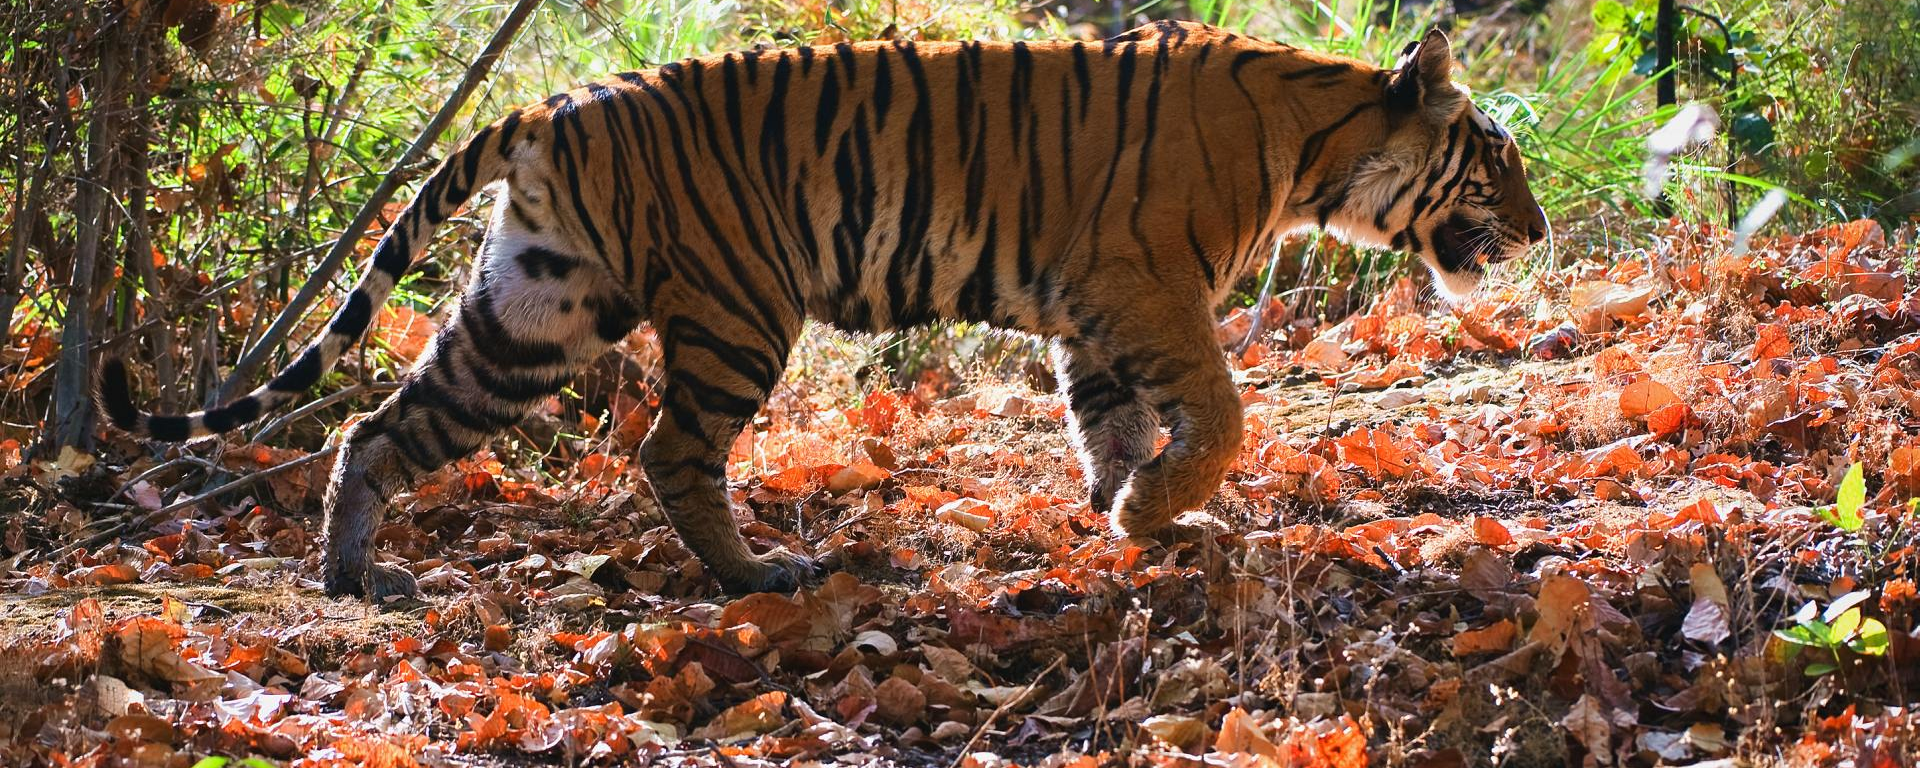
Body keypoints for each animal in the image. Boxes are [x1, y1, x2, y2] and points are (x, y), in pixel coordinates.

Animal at [100, 20, 1547, 600]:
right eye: (1496, 157)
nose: (1537, 233)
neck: (1317, 148)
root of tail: (555, 102)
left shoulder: (1093, 313)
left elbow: (1111, 422)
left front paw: (1125, 517)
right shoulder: (1145, 286)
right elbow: (1220, 414)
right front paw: (1156, 511)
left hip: (537, 309)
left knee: (381, 427)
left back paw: (356, 575)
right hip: (738, 307)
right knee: (672, 449)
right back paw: (759, 576)